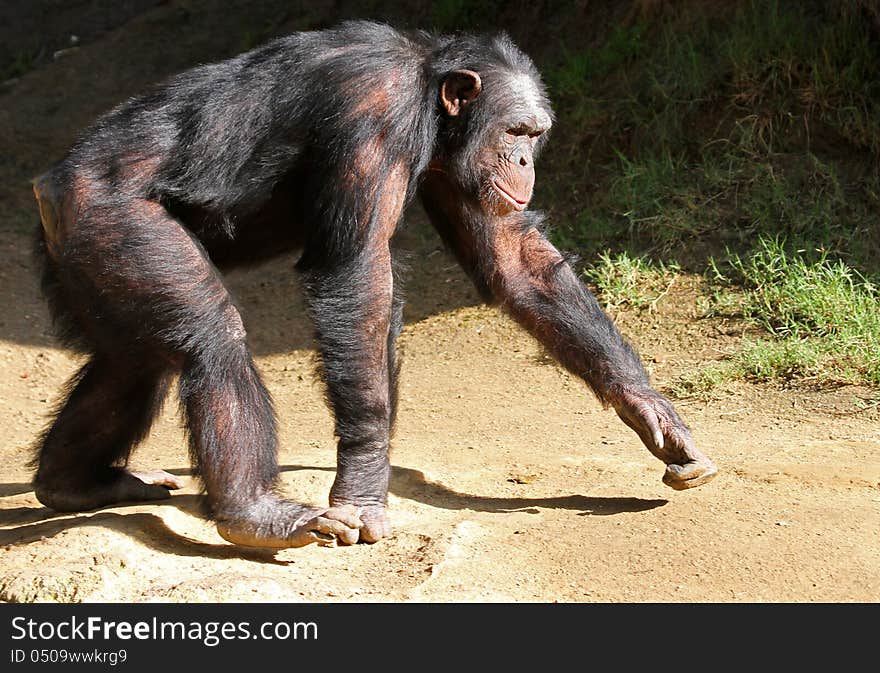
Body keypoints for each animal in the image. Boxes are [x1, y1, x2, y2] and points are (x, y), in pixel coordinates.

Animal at [29, 21, 716, 548]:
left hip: (87, 254)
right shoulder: (373, 115)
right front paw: (360, 487)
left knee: (132, 362)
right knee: (208, 340)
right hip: (115, 219)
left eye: (534, 135)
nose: (526, 161)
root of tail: (48, 186)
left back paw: (77, 483)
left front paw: (652, 412)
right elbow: (357, 275)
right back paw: (255, 514)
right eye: (515, 132)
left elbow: (514, 260)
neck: (427, 92)